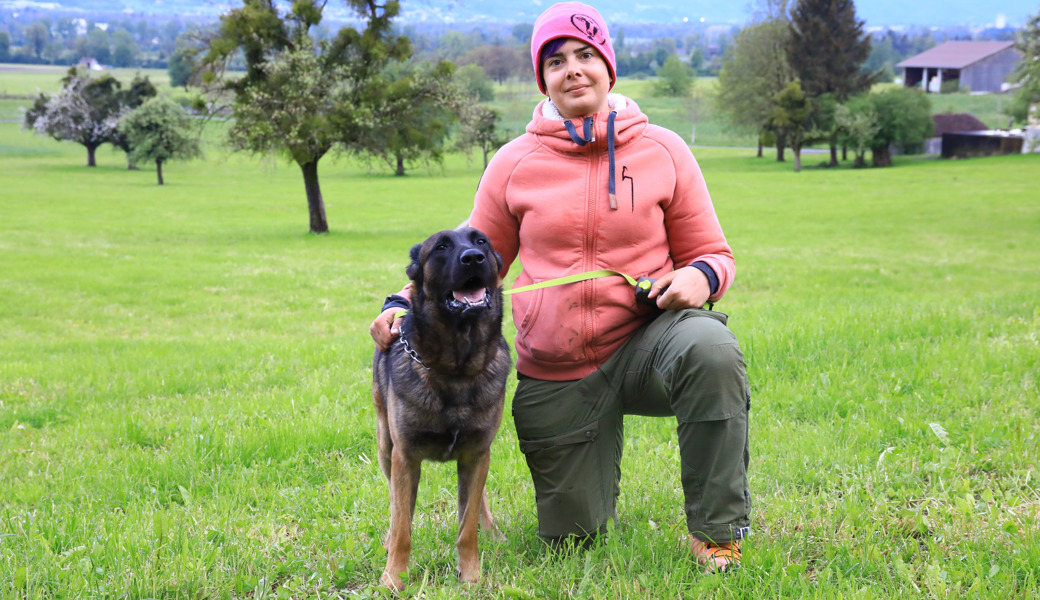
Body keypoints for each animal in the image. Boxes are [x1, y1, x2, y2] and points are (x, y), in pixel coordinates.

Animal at [374, 226, 511, 586]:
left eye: (482, 242)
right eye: (441, 248)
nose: (473, 258)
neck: (456, 370)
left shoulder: (476, 453)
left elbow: (467, 526)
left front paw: (471, 575)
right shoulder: (405, 458)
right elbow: (403, 525)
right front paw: (394, 577)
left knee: (479, 499)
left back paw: (491, 530)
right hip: (385, 446)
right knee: (394, 502)